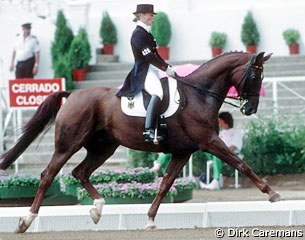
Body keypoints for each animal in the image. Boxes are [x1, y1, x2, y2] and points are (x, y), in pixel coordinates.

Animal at [0, 51, 280, 232]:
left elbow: (166, 184)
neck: (199, 95)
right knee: (48, 174)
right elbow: (242, 165)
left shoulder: (183, 152)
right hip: (69, 144)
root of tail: (73, 95)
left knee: (80, 172)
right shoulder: (209, 142)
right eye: (255, 76)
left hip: (104, 147)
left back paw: (97, 209)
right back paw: (26, 221)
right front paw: (272, 194)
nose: (250, 109)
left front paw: (150, 219)